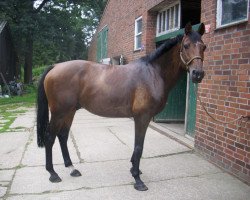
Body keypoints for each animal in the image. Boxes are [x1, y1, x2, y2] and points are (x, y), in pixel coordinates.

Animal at [36, 22, 205, 191]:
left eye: (204, 46)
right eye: (186, 45)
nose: (198, 74)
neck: (152, 73)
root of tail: (55, 66)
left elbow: (138, 146)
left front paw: (134, 170)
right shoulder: (142, 117)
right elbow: (138, 147)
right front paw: (137, 179)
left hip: (69, 111)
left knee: (63, 136)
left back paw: (72, 168)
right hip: (59, 113)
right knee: (50, 137)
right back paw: (53, 173)